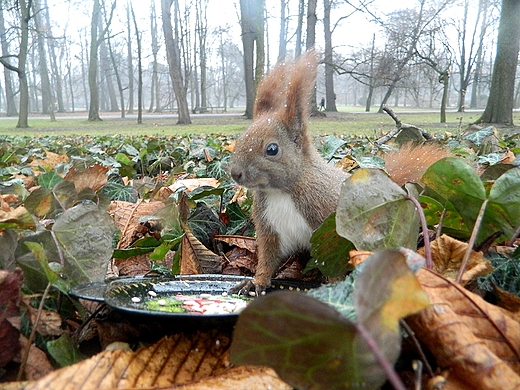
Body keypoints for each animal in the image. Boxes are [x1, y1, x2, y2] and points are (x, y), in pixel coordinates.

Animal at [232, 50, 446, 294]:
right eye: (240, 138)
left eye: (272, 149)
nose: (235, 173)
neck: (280, 192)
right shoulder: (270, 229)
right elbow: (268, 258)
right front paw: (255, 283)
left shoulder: (329, 228)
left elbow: (332, 260)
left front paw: (333, 287)